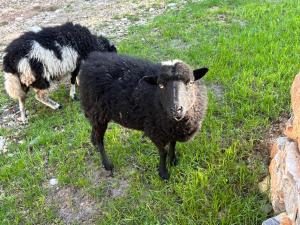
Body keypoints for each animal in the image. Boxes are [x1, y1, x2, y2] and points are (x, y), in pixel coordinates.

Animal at [79, 52, 209, 179]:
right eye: (161, 85)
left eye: (190, 82)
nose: (176, 109)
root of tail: (90, 60)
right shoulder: (156, 130)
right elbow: (163, 152)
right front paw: (163, 173)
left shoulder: (171, 130)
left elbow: (173, 144)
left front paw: (173, 161)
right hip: (98, 111)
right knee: (100, 138)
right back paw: (107, 164)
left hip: (96, 113)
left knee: (94, 130)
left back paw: (94, 142)